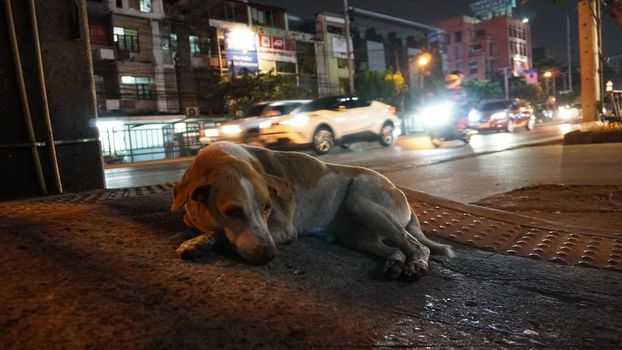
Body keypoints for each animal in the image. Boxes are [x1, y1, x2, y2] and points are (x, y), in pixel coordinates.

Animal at [171, 141, 454, 280]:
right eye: (232, 212)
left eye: (267, 207)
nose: (270, 255)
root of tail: (401, 192)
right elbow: (203, 227)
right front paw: (198, 241)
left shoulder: (283, 228)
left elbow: (223, 236)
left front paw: (202, 242)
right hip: (356, 235)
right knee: (396, 249)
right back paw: (395, 263)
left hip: (362, 201)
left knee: (418, 246)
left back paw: (416, 265)